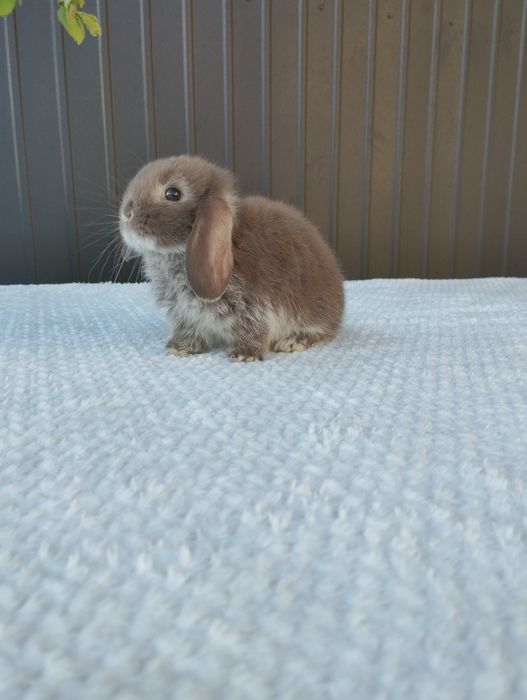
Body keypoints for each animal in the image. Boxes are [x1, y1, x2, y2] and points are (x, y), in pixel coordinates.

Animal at [119, 155, 344, 362]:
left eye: (172, 193)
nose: (126, 213)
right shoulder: (185, 315)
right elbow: (188, 332)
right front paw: (179, 349)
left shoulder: (253, 308)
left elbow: (252, 330)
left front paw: (244, 355)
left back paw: (292, 342)